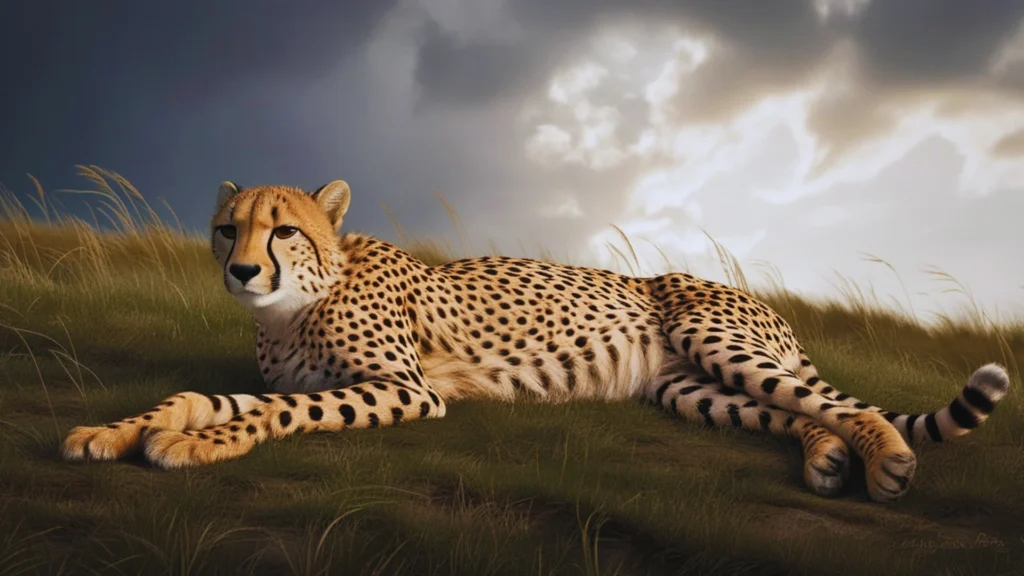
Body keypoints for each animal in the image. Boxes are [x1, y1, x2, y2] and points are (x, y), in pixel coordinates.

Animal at [62, 180, 1011, 503]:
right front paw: (116, 430)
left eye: (283, 230)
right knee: (799, 412)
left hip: (715, 338)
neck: (294, 305)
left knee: (845, 403)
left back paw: (887, 462)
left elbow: (271, 414)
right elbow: (200, 396)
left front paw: (197, 445)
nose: (243, 270)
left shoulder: (407, 387)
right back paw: (827, 460)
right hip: (689, 388)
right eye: (228, 228)